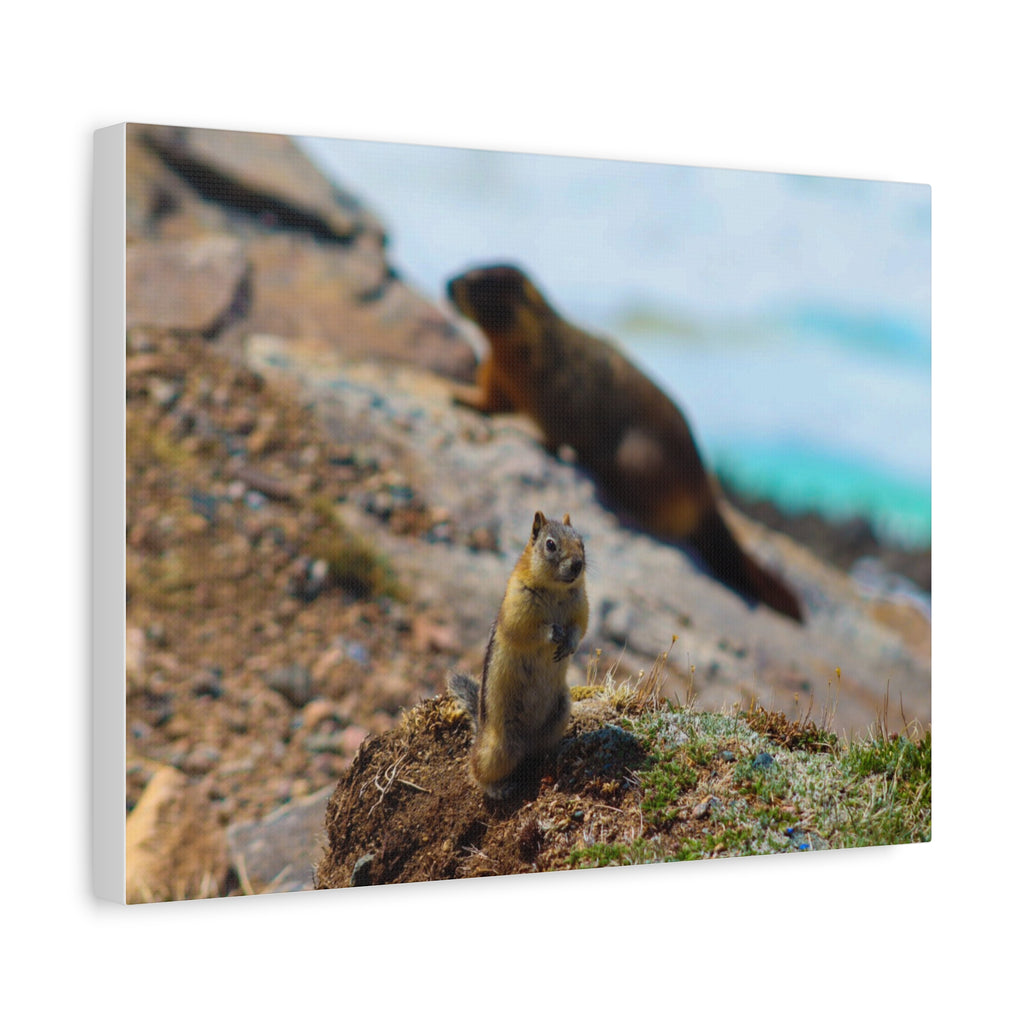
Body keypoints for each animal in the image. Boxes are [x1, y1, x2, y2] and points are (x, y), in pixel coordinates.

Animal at [446, 264, 803, 623]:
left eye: (483, 279)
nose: (448, 283)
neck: (520, 343)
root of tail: (707, 495)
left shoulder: (560, 385)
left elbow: (562, 425)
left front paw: (545, 441)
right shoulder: (497, 369)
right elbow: (491, 396)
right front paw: (462, 396)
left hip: (637, 460)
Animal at [448, 510, 589, 798]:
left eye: (581, 541)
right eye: (550, 544)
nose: (578, 565)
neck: (556, 589)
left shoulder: (581, 605)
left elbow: (580, 628)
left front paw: (568, 643)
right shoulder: (518, 606)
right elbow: (527, 630)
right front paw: (553, 633)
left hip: (560, 712)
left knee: (538, 752)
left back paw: (557, 751)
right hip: (499, 748)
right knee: (476, 769)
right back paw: (498, 788)